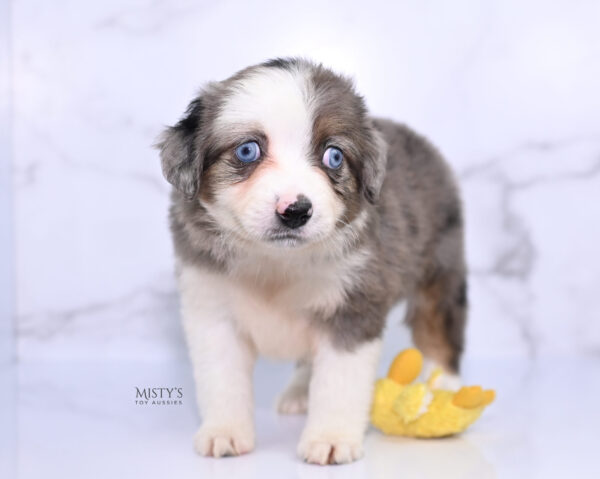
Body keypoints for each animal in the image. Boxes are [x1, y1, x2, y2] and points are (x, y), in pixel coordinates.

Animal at [159, 57, 468, 464]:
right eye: (247, 151)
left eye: (334, 156)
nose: (294, 211)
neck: (277, 261)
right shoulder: (211, 308)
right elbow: (222, 379)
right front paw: (224, 431)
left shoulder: (354, 307)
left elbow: (338, 381)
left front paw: (331, 438)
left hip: (440, 265)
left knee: (438, 327)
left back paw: (442, 386)